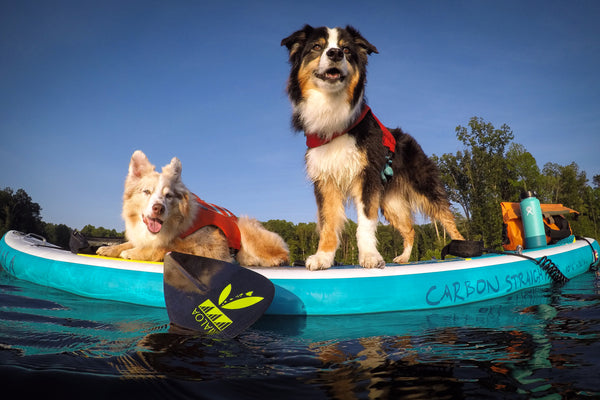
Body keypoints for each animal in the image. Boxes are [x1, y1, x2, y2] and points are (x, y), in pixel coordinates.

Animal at [282, 24, 464, 268]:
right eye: (317, 47)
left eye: (346, 50)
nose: (335, 53)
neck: (335, 117)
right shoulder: (325, 181)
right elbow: (328, 223)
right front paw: (323, 257)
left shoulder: (366, 177)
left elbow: (365, 222)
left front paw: (369, 256)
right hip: (391, 202)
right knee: (410, 230)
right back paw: (404, 258)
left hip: (425, 188)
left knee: (448, 218)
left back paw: (465, 249)